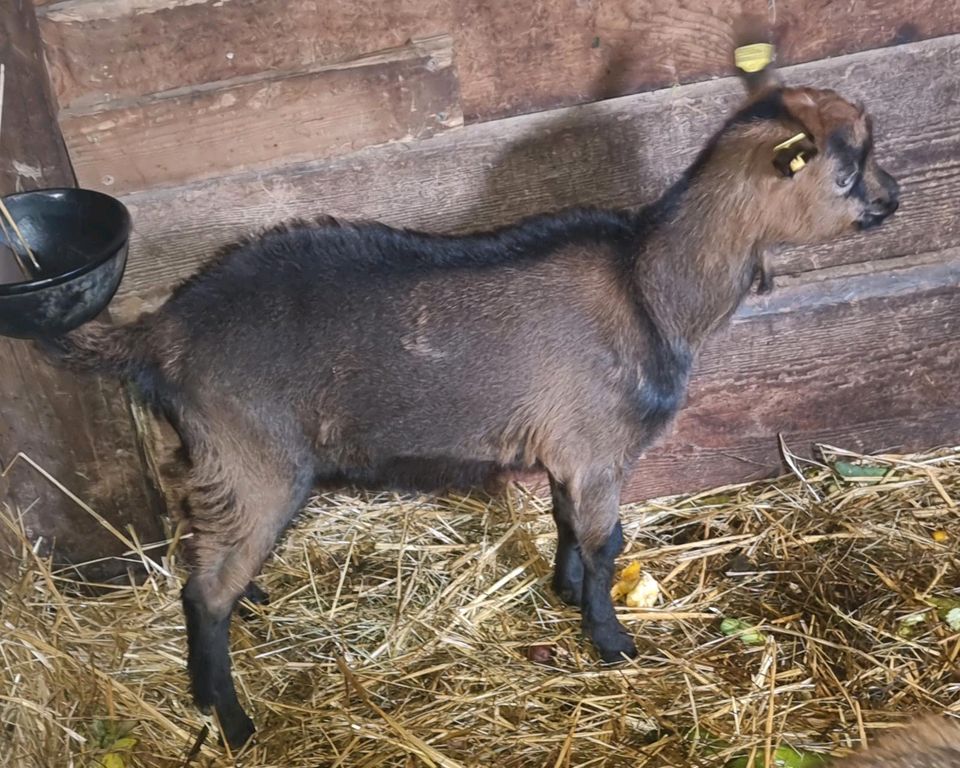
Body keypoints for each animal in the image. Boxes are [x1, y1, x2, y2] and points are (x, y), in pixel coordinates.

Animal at [47, 61, 900, 752]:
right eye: (849, 167)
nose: (894, 199)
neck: (650, 287)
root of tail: (165, 332)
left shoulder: (568, 452)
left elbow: (570, 527)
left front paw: (565, 594)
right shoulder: (597, 449)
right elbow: (607, 543)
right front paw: (611, 642)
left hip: (215, 452)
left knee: (202, 536)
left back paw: (250, 607)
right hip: (259, 458)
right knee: (203, 590)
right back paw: (228, 717)